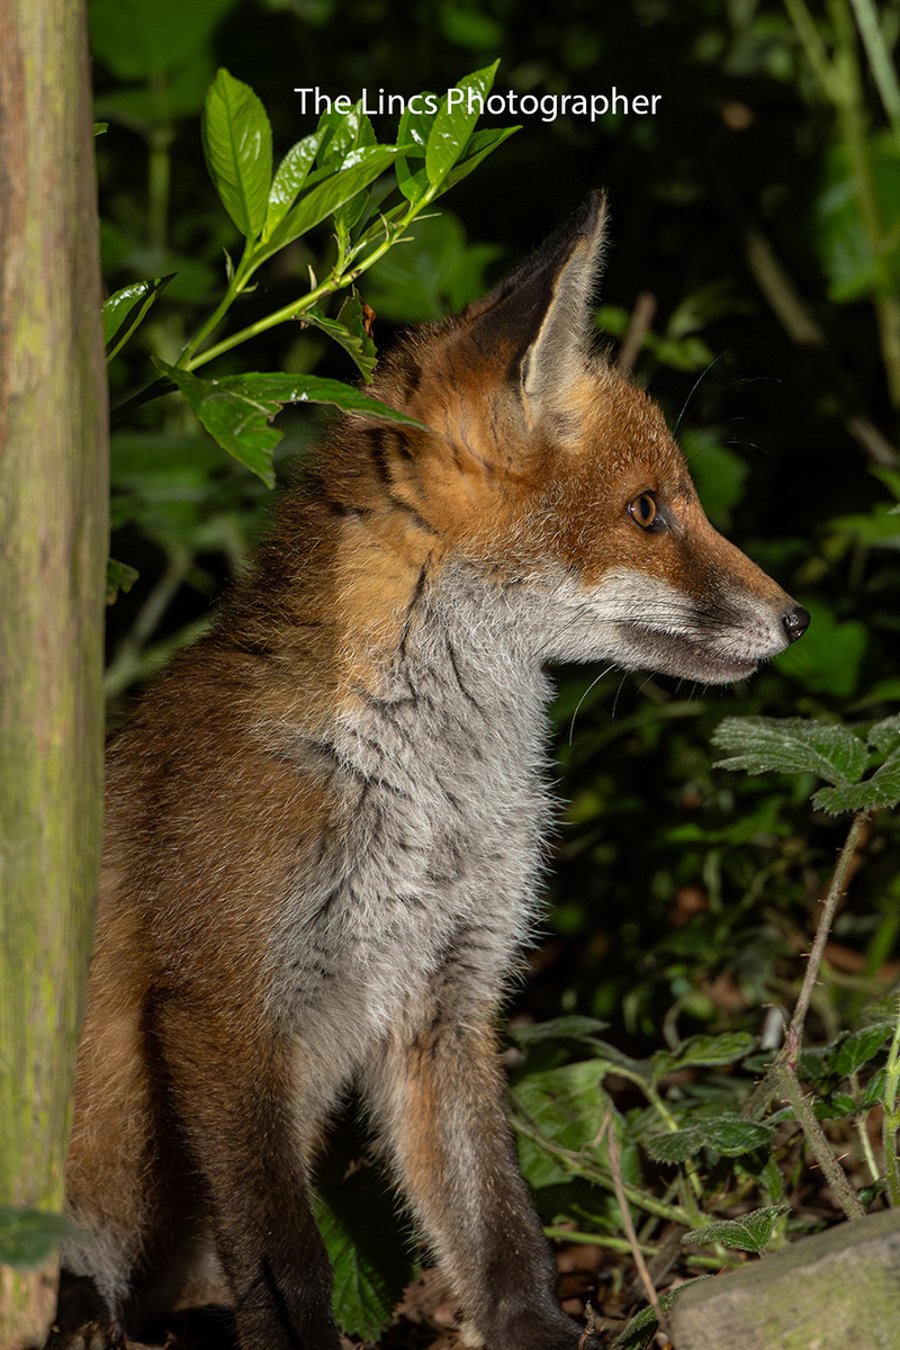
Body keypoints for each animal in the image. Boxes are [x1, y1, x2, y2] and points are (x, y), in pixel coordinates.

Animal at [47, 192, 809, 1350]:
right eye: (648, 511)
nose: (796, 618)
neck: (425, 791)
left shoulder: (447, 993)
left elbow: (498, 1228)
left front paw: (538, 1330)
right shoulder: (222, 1006)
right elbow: (286, 1257)